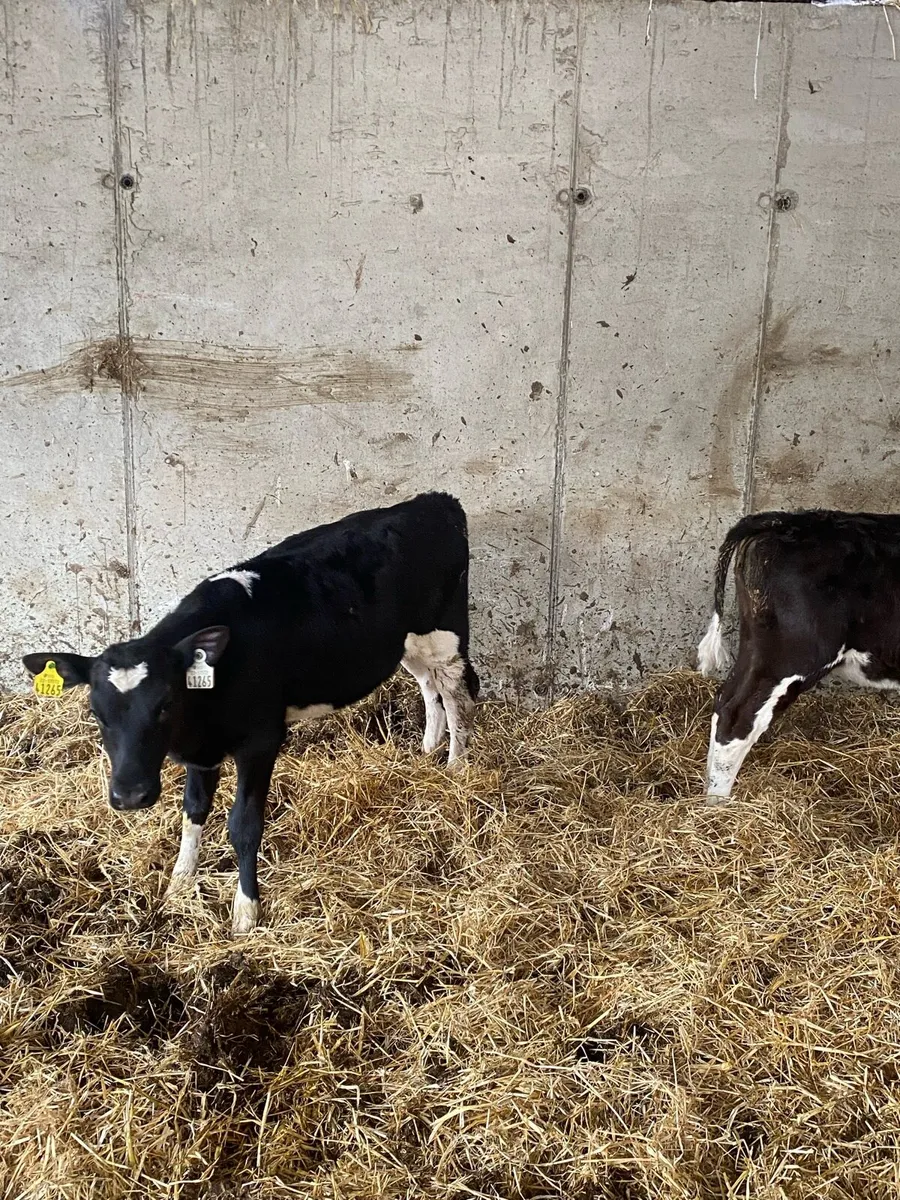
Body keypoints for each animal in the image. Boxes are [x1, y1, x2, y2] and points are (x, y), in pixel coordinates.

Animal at [22, 492, 479, 935]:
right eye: (96, 713)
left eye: (165, 704)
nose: (130, 795)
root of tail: (435, 500)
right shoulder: (201, 751)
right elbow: (193, 809)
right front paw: (180, 881)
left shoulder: (260, 742)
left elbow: (244, 825)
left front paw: (246, 911)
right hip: (405, 643)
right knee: (429, 686)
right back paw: (428, 748)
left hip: (443, 632)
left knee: (457, 694)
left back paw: (456, 765)